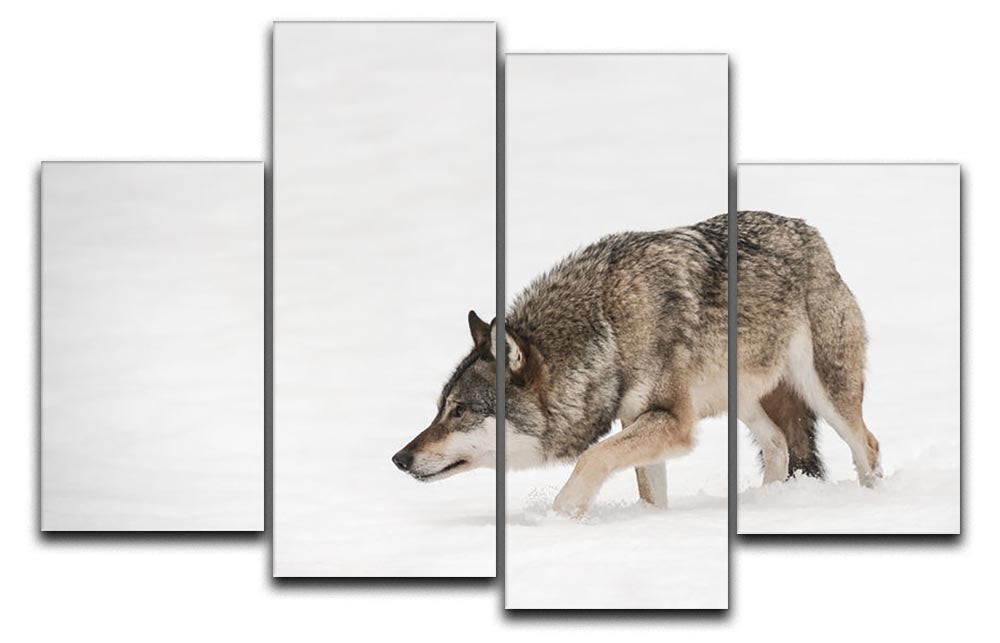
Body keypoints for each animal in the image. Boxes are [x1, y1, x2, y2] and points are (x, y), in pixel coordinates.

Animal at [391, 212, 881, 515]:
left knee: (868, 446)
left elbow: (592, 457)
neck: (608, 329)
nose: (399, 458)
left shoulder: (671, 421)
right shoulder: (638, 419)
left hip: (826, 392)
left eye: (460, 411)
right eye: (440, 409)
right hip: (740, 399)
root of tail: (810, 233)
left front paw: (561, 517)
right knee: (779, 442)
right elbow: (647, 491)